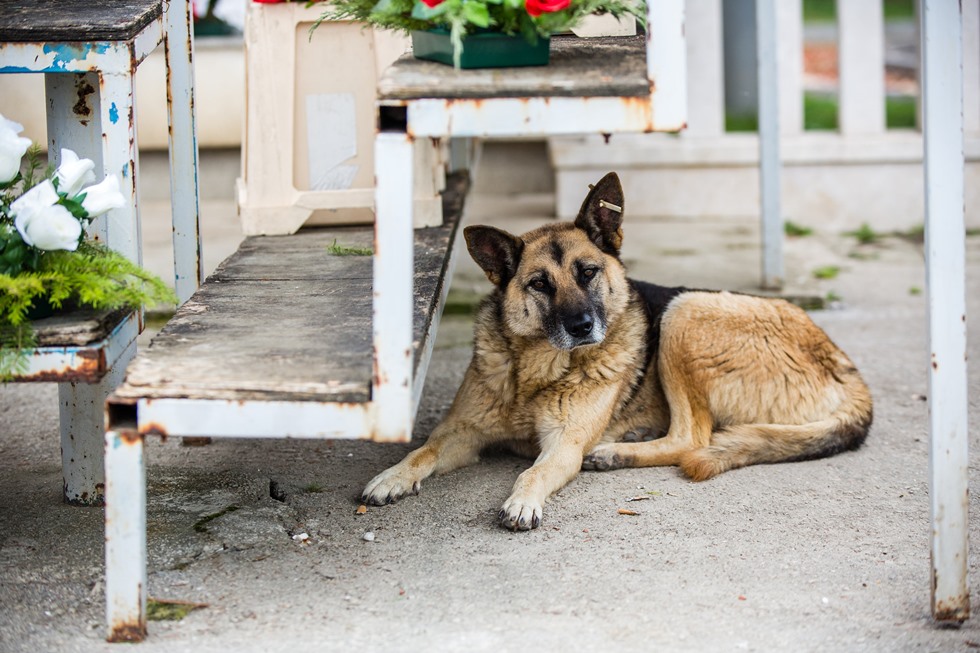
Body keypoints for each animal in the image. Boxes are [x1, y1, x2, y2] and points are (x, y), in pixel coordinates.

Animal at [362, 171, 872, 528]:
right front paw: (392, 475)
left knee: (693, 438)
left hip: (685, 312)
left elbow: (533, 473)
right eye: (539, 284)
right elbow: (423, 450)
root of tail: (847, 369)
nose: (583, 327)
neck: (536, 372)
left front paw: (523, 500)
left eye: (588, 273)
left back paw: (614, 453)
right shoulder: (461, 433)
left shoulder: (563, 446)